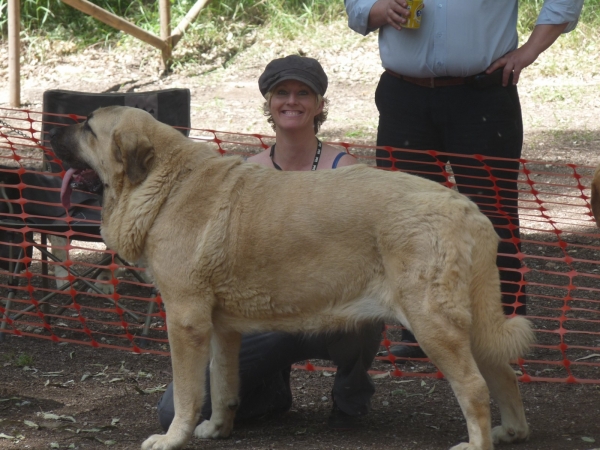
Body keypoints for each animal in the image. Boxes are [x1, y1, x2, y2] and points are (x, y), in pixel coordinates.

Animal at [50, 106, 536, 450]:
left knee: (474, 386)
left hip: (432, 323)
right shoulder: (220, 329)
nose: (52, 130)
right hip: (469, 321)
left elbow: (188, 393)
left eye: (88, 126)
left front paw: (174, 438)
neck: (166, 184)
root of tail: (469, 210)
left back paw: (477, 444)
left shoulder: (185, 320)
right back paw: (512, 432)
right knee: (502, 373)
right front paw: (218, 427)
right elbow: (222, 383)